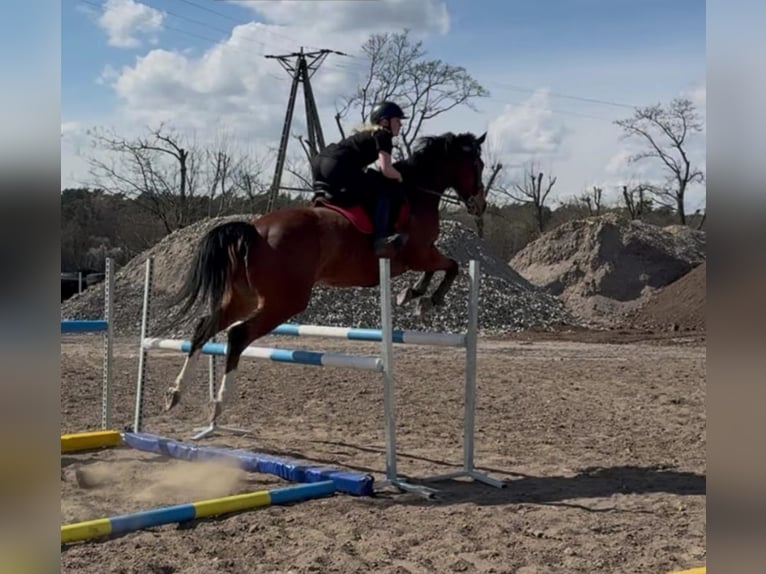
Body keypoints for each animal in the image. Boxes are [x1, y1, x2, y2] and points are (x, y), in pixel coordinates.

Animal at [164, 130, 487, 426]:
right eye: (478, 164)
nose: (480, 205)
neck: (416, 192)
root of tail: (254, 231)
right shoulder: (420, 254)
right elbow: (452, 266)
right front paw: (427, 300)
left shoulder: (420, 257)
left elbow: (442, 268)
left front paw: (413, 294)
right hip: (284, 302)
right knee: (237, 335)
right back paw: (220, 402)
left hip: (242, 297)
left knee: (204, 327)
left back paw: (176, 393)